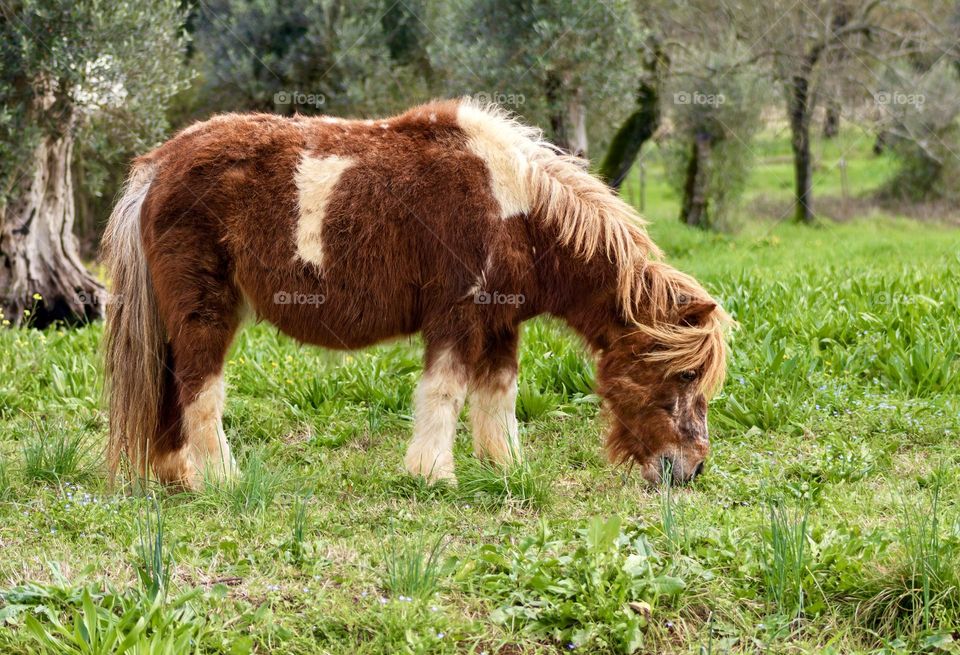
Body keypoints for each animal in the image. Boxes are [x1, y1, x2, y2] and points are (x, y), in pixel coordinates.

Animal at [102, 98, 730, 491]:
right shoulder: (457, 317)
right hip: (206, 311)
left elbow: (497, 397)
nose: (690, 470)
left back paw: (176, 476)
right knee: (198, 390)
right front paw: (433, 475)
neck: (515, 210)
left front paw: (505, 470)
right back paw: (221, 481)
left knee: (171, 392)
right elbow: (445, 393)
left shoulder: (499, 325)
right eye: (683, 375)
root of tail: (159, 164)